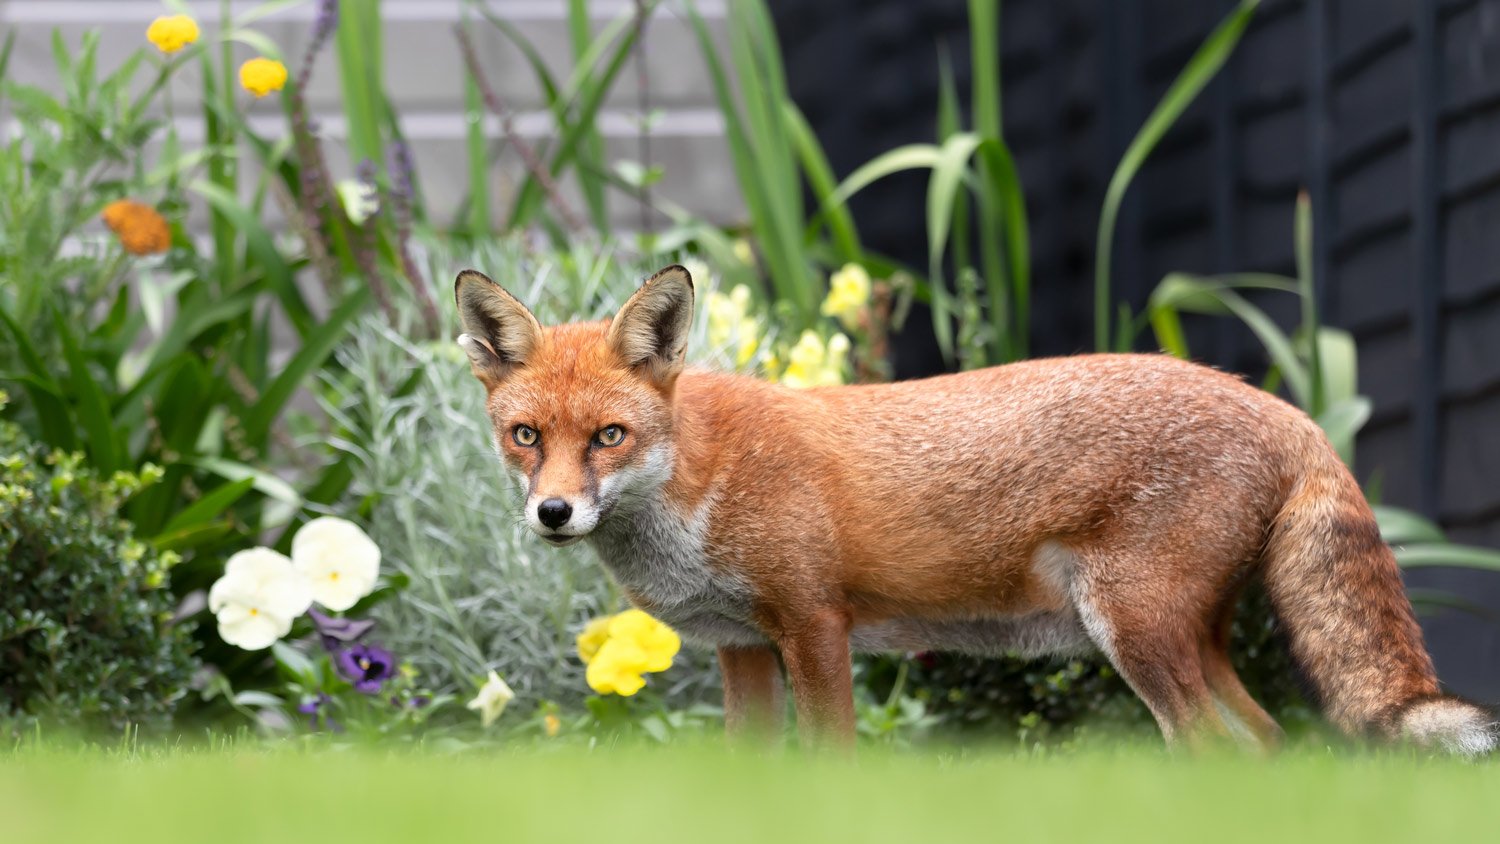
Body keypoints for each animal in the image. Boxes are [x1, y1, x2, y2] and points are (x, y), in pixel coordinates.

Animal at [453, 263, 1488, 752]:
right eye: (526, 436)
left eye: (609, 437)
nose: (554, 514)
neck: (697, 486)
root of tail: (1285, 408)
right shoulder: (743, 649)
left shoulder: (814, 625)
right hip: (1185, 642)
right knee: (1270, 742)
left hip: (1136, 634)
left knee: (1218, 750)